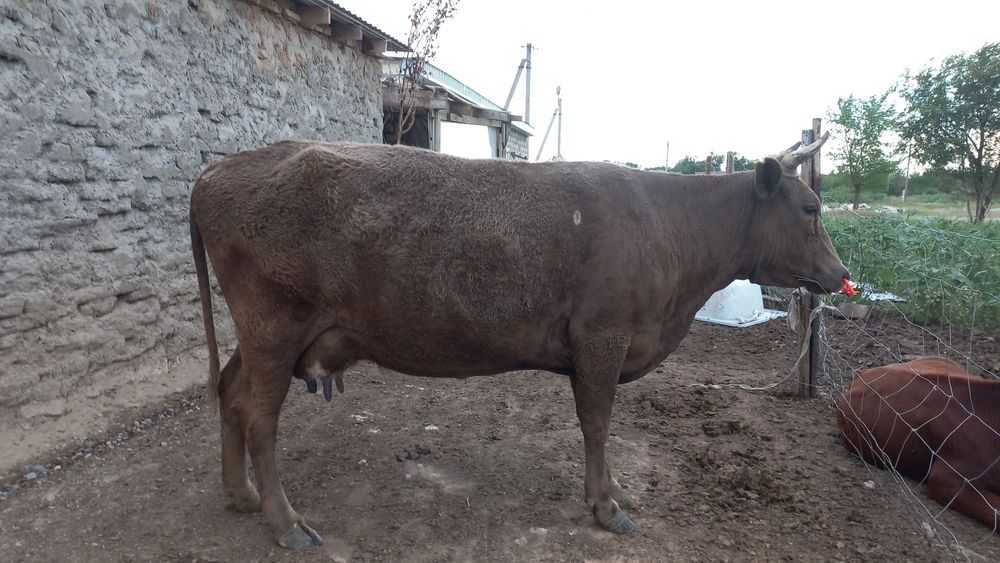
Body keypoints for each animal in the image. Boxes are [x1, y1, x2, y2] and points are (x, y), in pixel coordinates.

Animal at [190, 134, 849, 548]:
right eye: (812, 208)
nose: (841, 273)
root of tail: (219, 169)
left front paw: (614, 490)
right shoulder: (603, 337)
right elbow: (597, 422)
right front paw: (605, 506)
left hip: (261, 336)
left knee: (229, 392)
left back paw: (241, 494)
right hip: (274, 327)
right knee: (260, 416)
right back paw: (285, 522)